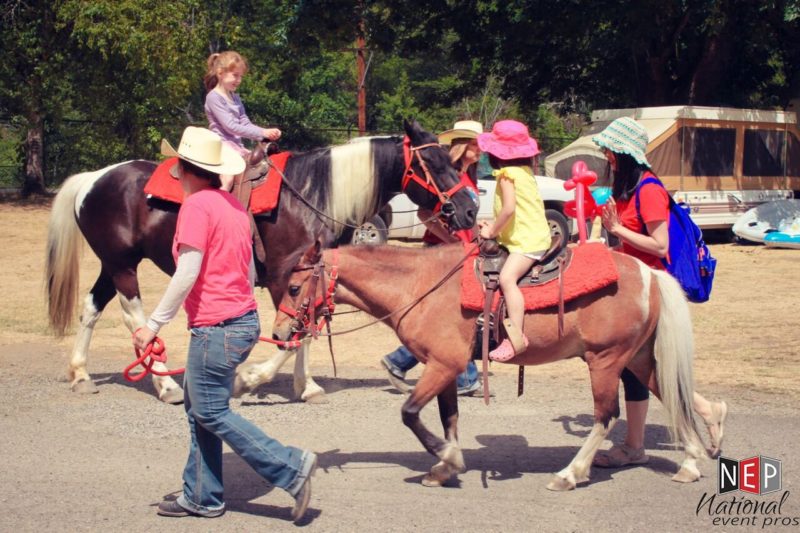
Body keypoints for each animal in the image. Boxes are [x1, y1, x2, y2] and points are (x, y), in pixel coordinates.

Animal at [272, 241, 708, 490]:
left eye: (293, 287)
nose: (278, 332)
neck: (419, 285)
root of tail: (649, 272)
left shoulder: (442, 365)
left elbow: (410, 413)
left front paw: (444, 456)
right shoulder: (445, 368)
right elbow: (448, 417)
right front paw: (445, 466)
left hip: (606, 360)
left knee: (606, 415)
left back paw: (570, 474)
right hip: (638, 358)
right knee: (676, 399)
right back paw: (690, 463)